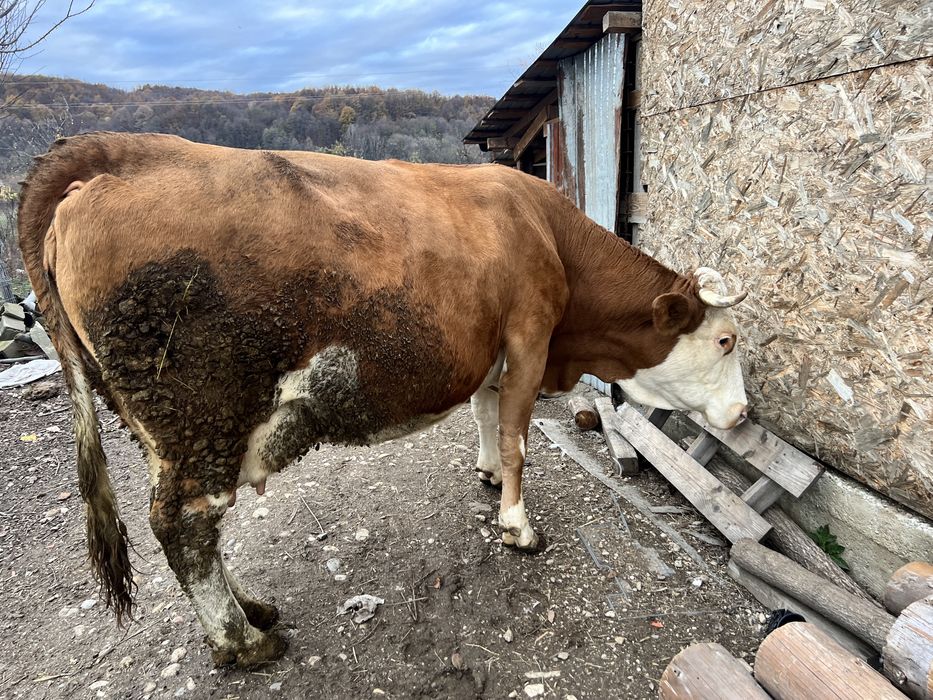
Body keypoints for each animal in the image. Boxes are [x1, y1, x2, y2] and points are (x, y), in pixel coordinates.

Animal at [18, 132, 748, 668]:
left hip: (160, 430)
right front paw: (517, 526)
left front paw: (486, 474)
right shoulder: (530, 336)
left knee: (192, 529)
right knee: (186, 526)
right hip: (198, 418)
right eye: (725, 340)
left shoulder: (494, 350)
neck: (547, 232)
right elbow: (517, 437)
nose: (743, 415)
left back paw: (252, 609)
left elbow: (487, 416)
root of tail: (119, 154)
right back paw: (245, 641)